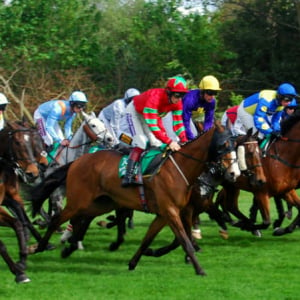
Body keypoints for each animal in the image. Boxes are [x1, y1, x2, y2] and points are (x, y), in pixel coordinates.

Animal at [30, 123, 240, 276]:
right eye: (223, 145)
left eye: (234, 146)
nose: (233, 173)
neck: (179, 169)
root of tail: (77, 161)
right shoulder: (171, 211)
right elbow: (184, 240)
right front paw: (199, 269)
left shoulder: (165, 213)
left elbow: (149, 239)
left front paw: (134, 261)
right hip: (78, 202)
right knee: (57, 219)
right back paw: (39, 246)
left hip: (101, 203)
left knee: (81, 220)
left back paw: (69, 247)